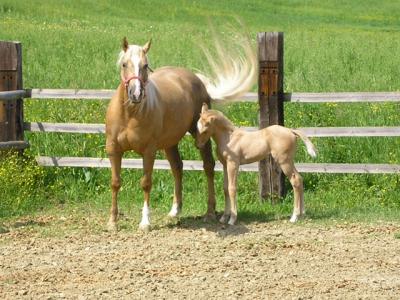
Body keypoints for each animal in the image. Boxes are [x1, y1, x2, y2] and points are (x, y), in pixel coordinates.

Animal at [106, 36, 256, 231]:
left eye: (145, 65)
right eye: (124, 64)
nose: (136, 94)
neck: (130, 114)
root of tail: (196, 80)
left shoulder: (149, 152)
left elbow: (146, 183)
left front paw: (145, 222)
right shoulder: (113, 150)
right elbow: (115, 183)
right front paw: (112, 222)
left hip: (200, 136)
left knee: (208, 166)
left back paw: (209, 212)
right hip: (170, 143)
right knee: (177, 168)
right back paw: (175, 211)